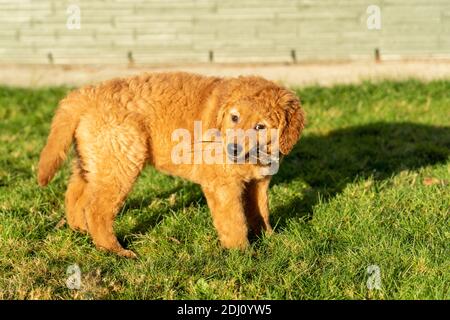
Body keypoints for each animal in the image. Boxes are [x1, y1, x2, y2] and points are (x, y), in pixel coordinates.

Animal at [38, 72, 306, 258]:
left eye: (260, 126)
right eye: (234, 117)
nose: (232, 149)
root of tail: (86, 94)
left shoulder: (259, 182)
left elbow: (260, 211)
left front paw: (269, 238)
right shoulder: (222, 185)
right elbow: (235, 221)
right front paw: (243, 253)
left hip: (95, 159)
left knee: (76, 194)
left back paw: (80, 230)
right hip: (121, 160)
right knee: (97, 209)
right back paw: (115, 251)